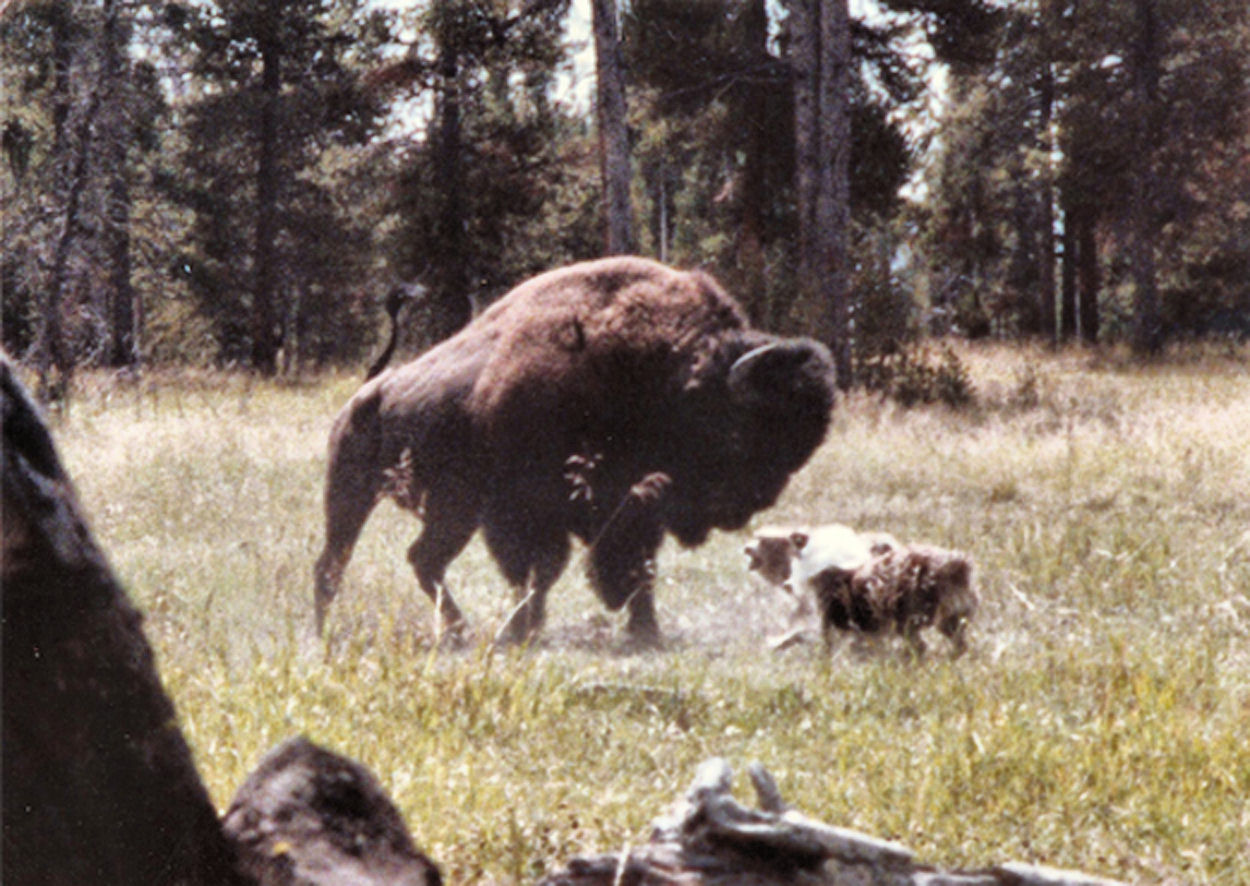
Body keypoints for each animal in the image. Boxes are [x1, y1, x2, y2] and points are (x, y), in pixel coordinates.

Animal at [315, 253, 840, 644]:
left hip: (452, 511)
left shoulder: (633, 506)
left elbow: (634, 568)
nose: (749, 505)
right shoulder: (525, 511)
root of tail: (367, 393)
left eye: (799, 452)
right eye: (738, 433)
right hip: (355, 495)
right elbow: (543, 568)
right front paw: (522, 629)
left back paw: (453, 631)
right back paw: (326, 632)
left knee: (421, 559)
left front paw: (645, 632)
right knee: (339, 563)